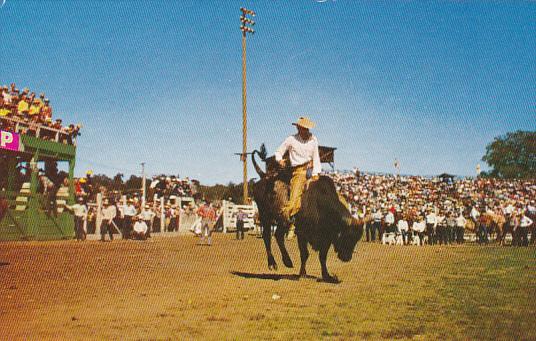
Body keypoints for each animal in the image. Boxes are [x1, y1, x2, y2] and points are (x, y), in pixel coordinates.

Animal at [251, 146, 364, 282]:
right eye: (347, 236)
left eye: (357, 238)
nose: (347, 258)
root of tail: (265, 177)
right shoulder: (302, 232)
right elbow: (305, 254)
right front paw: (302, 273)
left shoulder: (327, 237)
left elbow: (322, 256)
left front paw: (327, 275)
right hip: (266, 216)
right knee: (268, 237)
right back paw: (276, 263)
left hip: (280, 220)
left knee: (276, 236)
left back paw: (284, 261)